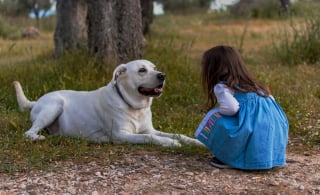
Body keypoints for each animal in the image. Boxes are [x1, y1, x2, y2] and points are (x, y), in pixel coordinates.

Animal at [14, 59, 202, 146]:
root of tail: (36, 101)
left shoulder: (150, 129)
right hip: (54, 106)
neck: (134, 106)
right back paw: (38, 137)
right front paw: (169, 143)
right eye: (142, 70)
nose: (162, 75)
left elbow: (177, 134)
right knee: (28, 133)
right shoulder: (121, 135)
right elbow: (149, 137)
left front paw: (194, 141)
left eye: (154, 68)